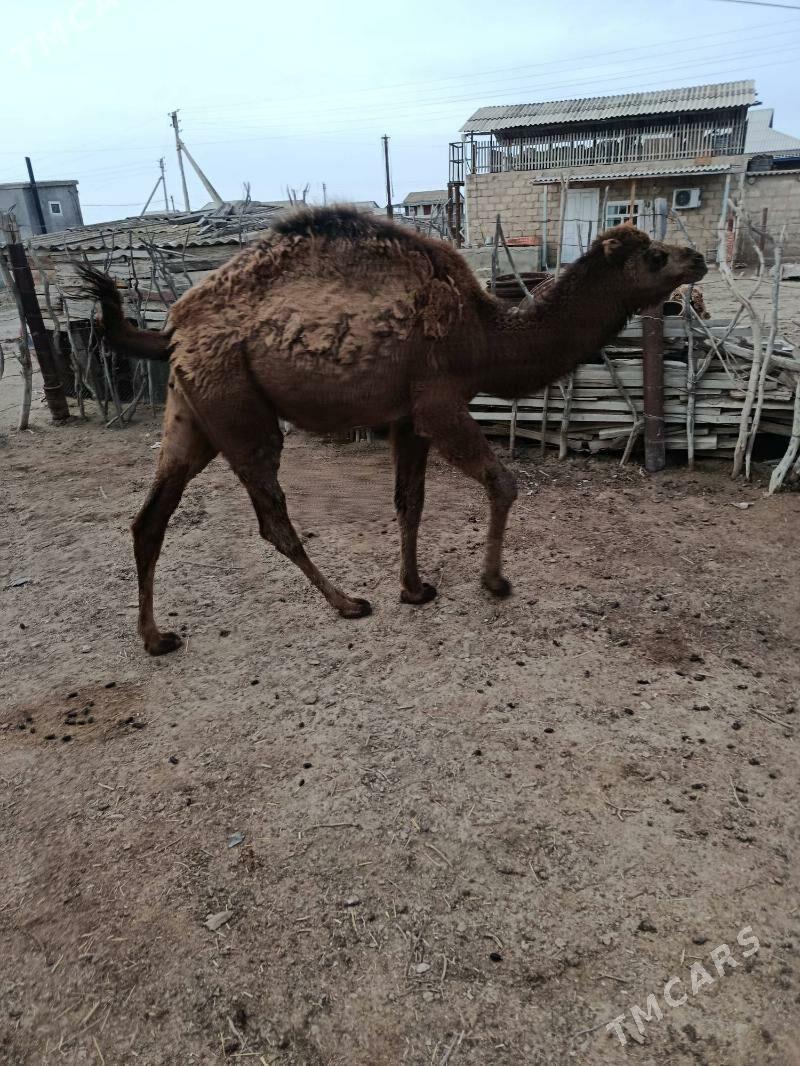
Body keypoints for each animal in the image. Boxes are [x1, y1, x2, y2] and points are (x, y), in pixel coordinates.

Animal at [78, 207, 706, 655]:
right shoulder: (438, 401)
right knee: (271, 518)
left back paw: (156, 638)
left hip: (191, 414)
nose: (697, 258)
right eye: (656, 256)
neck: (485, 334)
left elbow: (410, 502)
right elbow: (502, 483)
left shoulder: (406, 417)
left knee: (149, 519)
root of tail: (171, 330)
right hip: (237, 407)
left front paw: (415, 589)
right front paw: (493, 582)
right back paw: (347, 603)